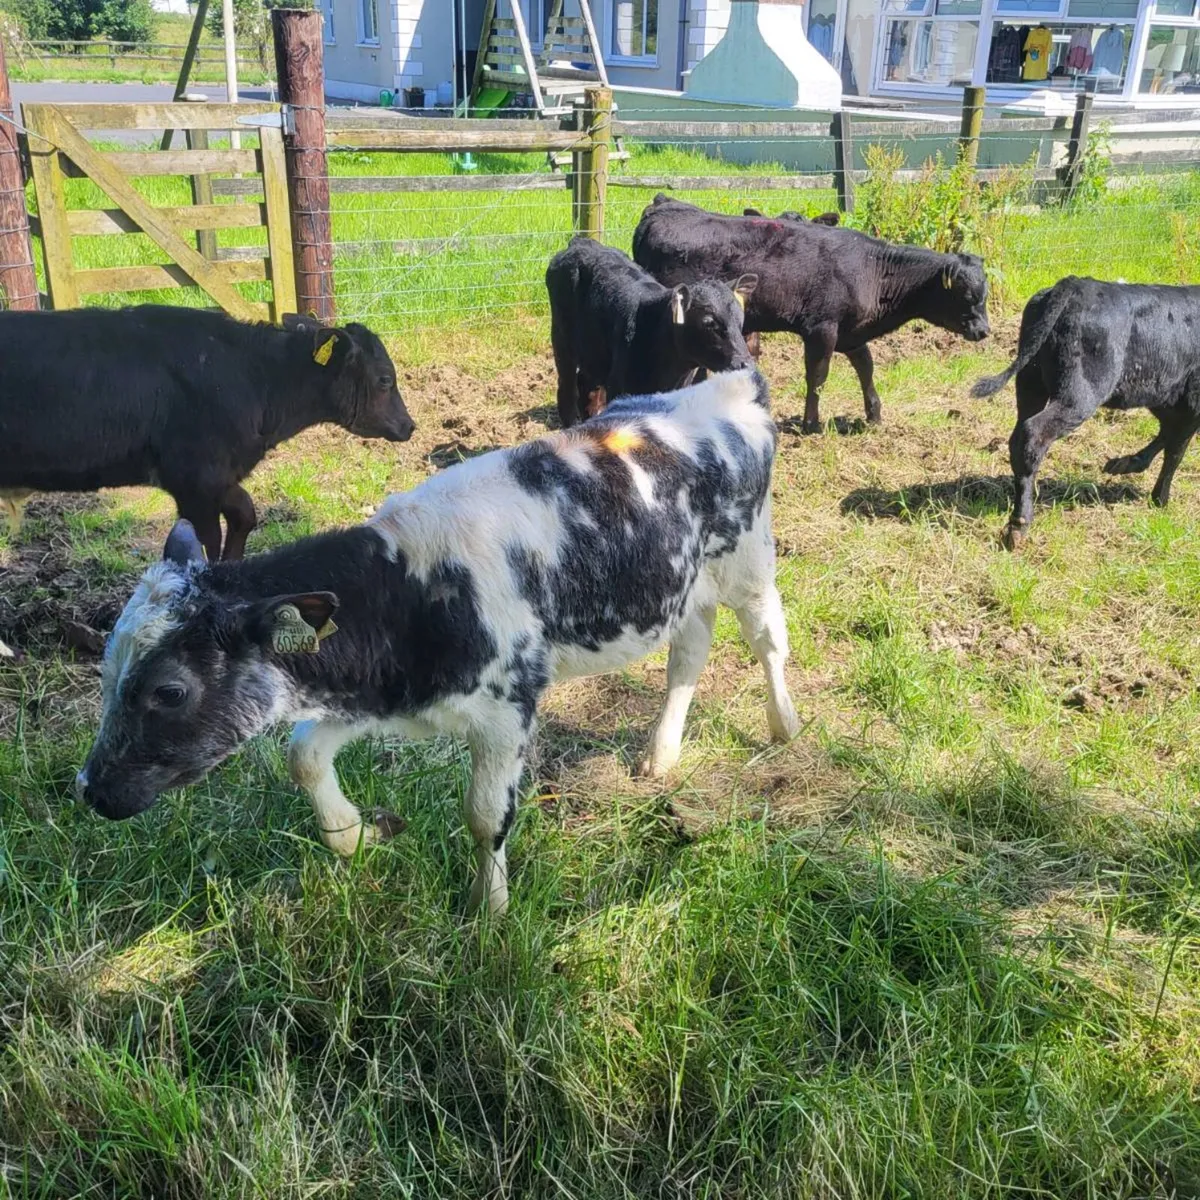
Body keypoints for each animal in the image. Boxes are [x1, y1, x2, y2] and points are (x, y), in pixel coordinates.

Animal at [0, 307, 414, 562]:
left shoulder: (216, 476)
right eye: (385, 379)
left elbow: (245, 513)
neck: (254, 378)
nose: (409, 426)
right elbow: (203, 545)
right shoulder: (194, 482)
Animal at [77, 369, 799, 916]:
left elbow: (484, 816)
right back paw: (661, 753)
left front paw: (489, 913)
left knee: (768, 639)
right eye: (106, 674)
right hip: (685, 586)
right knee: (689, 652)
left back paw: (784, 725)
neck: (414, 585)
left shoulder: (509, 708)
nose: (88, 790)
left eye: (170, 690)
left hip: (748, 559)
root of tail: (728, 385)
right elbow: (303, 753)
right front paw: (355, 837)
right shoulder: (381, 690)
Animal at [546, 235, 756, 428]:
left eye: (740, 320)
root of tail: (582, 243)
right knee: (567, 390)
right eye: (708, 322)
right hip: (562, 342)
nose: (744, 363)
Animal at [633, 194, 990, 432]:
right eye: (967, 295)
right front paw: (811, 423)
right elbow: (818, 376)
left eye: (984, 294)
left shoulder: (851, 333)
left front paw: (874, 415)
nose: (984, 330)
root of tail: (663, 204)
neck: (872, 270)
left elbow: (866, 368)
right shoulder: (822, 328)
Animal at [971, 276, 1200, 549]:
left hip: (1030, 381)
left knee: (1019, 434)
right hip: (1080, 394)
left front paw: (1126, 465)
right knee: (1033, 434)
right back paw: (1019, 524)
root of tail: (1076, 284)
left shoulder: (1168, 399)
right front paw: (1160, 500)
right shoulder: (1193, 403)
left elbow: (1169, 435)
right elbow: (1176, 452)